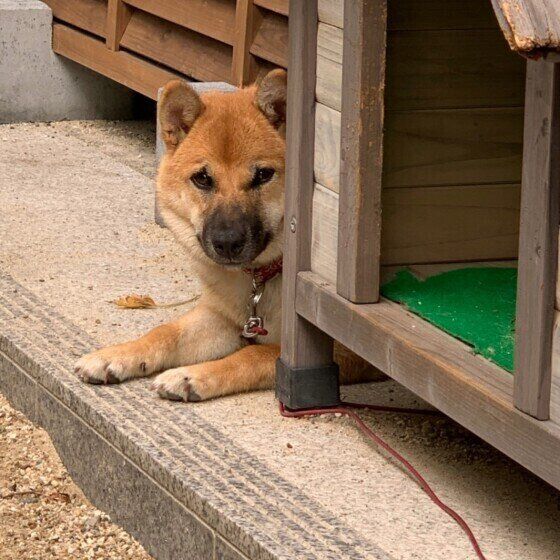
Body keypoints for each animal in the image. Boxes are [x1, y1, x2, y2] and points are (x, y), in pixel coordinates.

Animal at [74, 71, 378, 402]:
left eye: (263, 175)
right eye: (202, 178)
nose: (227, 243)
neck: (261, 278)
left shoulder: (340, 352)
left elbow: (253, 355)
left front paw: (191, 375)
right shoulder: (220, 317)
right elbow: (166, 332)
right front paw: (117, 355)